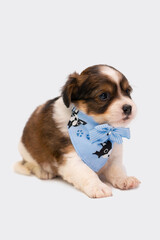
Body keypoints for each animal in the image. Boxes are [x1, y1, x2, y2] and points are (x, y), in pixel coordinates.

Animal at [14, 64, 140, 199]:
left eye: (128, 91)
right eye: (103, 96)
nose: (128, 107)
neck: (98, 129)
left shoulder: (114, 155)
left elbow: (117, 169)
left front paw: (124, 179)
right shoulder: (71, 159)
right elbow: (87, 173)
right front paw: (98, 186)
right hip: (26, 150)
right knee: (31, 163)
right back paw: (43, 171)